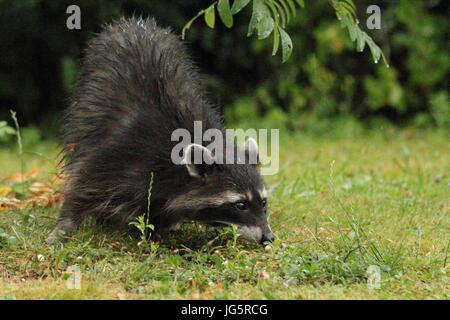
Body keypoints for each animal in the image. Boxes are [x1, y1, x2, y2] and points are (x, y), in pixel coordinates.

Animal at [45, 16, 274, 245]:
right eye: (240, 205)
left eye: (263, 202)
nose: (269, 237)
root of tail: (135, 22)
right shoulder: (122, 149)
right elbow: (84, 181)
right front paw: (65, 224)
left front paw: (160, 224)